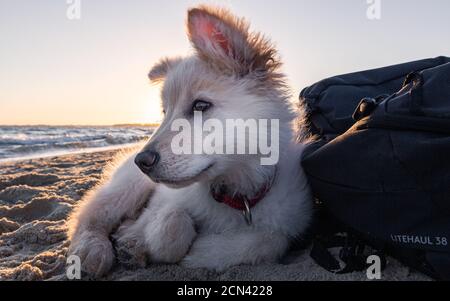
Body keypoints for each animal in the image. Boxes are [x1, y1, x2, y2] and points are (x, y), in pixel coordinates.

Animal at [67, 5, 312, 276]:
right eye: (165, 112)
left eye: (200, 105)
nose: (142, 161)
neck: (236, 196)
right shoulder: (163, 200)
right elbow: (173, 225)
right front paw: (141, 239)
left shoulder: (290, 218)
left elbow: (269, 239)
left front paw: (204, 250)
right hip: (127, 187)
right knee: (90, 214)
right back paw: (92, 249)